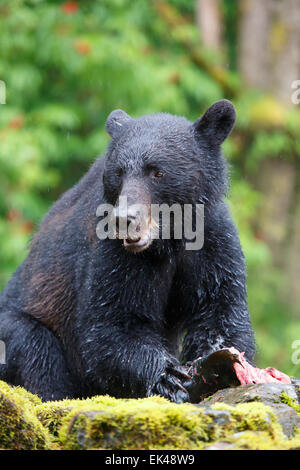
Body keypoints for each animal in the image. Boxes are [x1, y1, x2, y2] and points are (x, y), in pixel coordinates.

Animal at [0, 99, 255, 400]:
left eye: (157, 171)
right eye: (119, 172)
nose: (124, 219)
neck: (169, 239)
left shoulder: (213, 240)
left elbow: (219, 309)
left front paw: (217, 363)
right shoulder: (112, 253)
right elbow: (112, 323)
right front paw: (169, 376)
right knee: (37, 351)